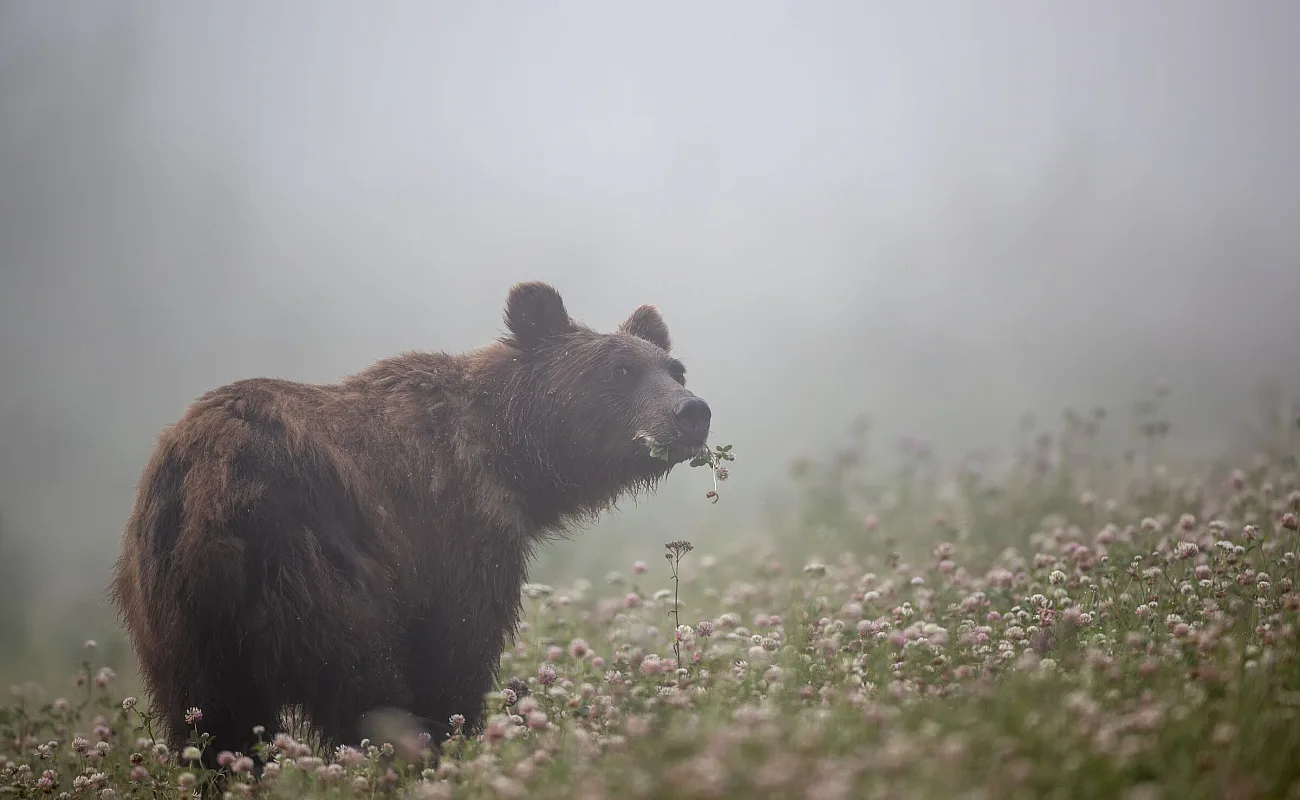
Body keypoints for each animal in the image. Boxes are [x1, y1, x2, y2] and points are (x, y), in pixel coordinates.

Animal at [107, 281, 712, 768]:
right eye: (621, 370)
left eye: (674, 369)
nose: (693, 412)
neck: (510, 453)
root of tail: (207, 482)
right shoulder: (457, 524)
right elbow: (456, 650)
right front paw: (464, 734)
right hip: (305, 558)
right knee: (361, 685)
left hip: (172, 615)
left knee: (210, 722)